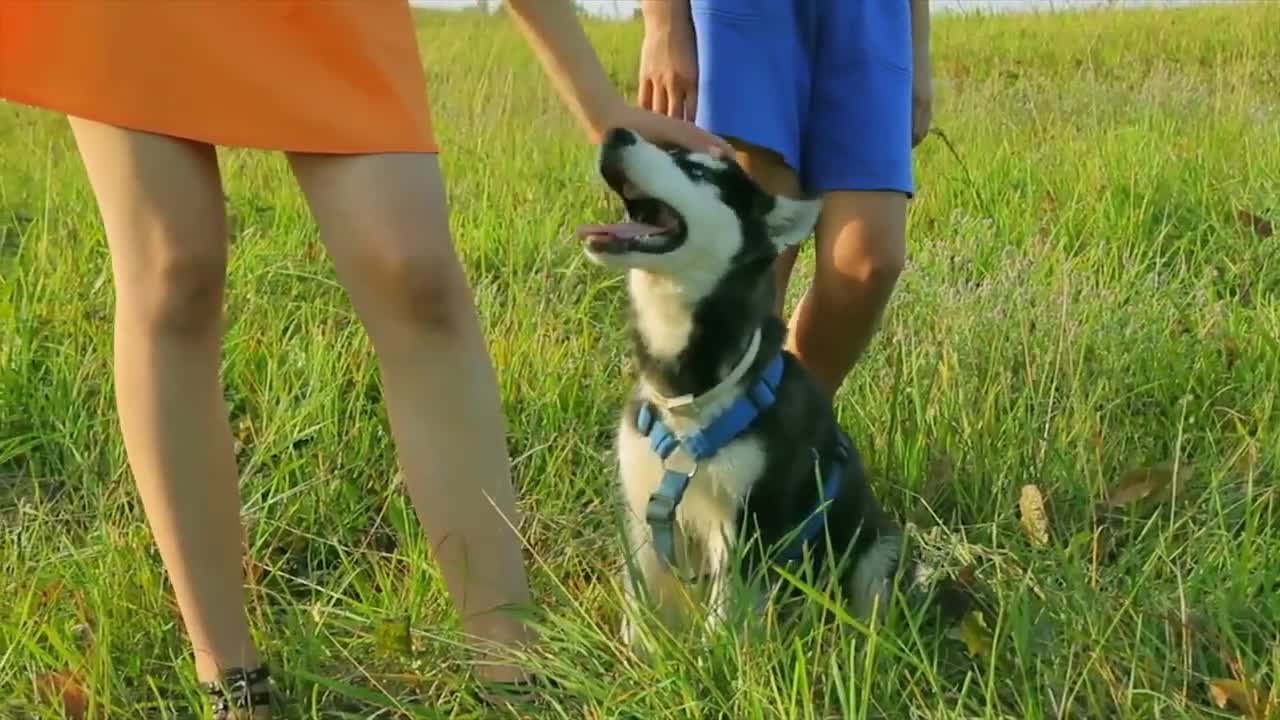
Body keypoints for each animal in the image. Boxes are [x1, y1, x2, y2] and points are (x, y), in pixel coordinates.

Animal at [581, 126, 911, 635]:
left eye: (698, 171)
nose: (616, 132)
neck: (686, 396)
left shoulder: (745, 529)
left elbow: (724, 623)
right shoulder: (643, 517)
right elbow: (639, 616)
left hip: (880, 549)